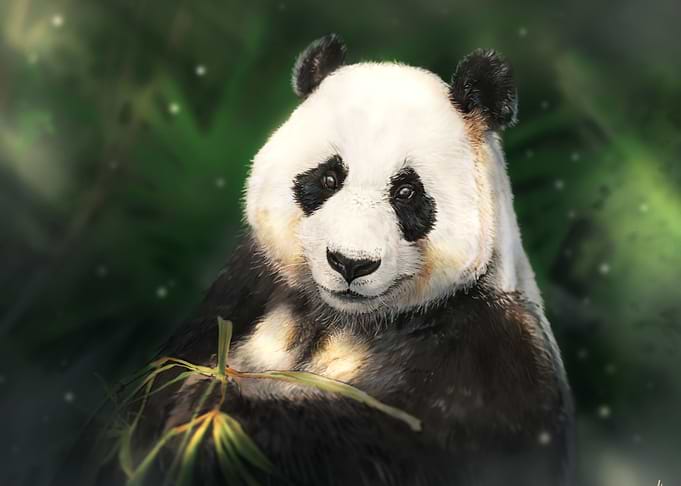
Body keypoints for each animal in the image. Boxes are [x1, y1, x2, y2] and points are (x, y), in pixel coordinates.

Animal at [118, 34, 574, 486]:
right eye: (328, 178)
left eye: (406, 192)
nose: (350, 264)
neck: (344, 320)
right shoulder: (245, 290)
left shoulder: (487, 357)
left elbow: (384, 449)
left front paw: (217, 408)